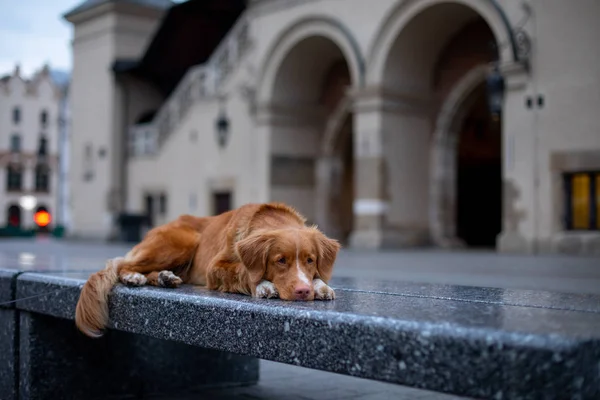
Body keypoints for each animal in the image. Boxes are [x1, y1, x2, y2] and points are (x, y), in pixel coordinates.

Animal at [74, 203, 342, 338]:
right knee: (121, 264)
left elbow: (319, 278)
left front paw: (321, 286)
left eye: (310, 260)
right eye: (280, 260)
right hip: (183, 241)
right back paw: (134, 276)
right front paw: (264, 285)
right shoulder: (215, 268)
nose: (303, 292)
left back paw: (165, 277)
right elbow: (244, 271)